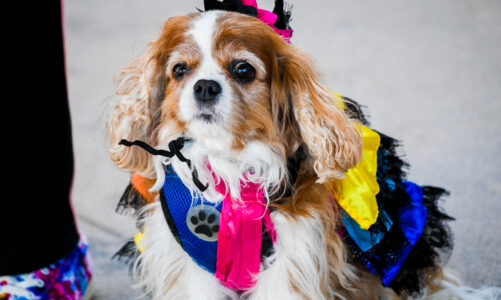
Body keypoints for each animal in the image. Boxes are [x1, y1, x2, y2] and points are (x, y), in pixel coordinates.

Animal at [106, 4, 500, 300]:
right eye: (179, 70)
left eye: (243, 70)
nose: (204, 86)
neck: (229, 164)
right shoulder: (188, 266)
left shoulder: (293, 257)